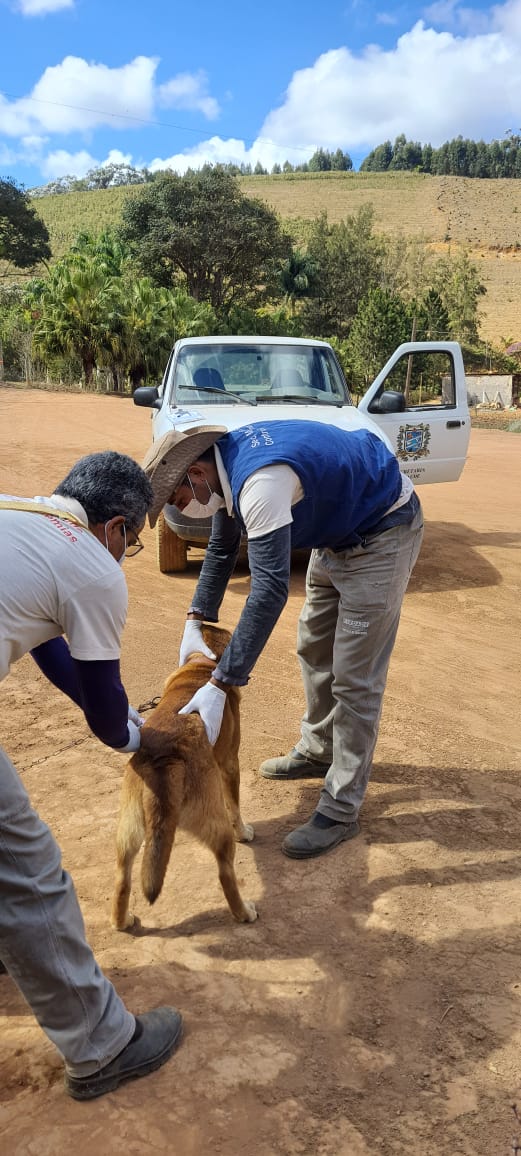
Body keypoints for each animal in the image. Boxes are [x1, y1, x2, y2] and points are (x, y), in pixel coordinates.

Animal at [110, 624, 257, 929]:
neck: (201, 667)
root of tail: (166, 759)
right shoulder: (230, 764)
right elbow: (235, 807)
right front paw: (245, 831)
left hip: (127, 832)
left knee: (122, 879)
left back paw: (122, 921)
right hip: (217, 827)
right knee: (225, 874)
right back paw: (243, 912)